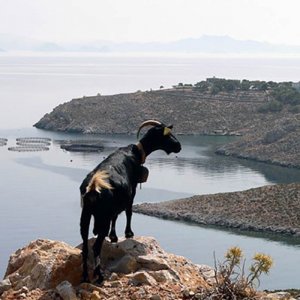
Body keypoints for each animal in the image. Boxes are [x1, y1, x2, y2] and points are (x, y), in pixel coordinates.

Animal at [79, 119, 180, 284]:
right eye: (167, 135)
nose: (179, 146)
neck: (135, 152)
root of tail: (94, 187)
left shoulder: (115, 205)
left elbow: (116, 216)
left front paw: (113, 236)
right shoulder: (131, 191)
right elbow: (129, 212)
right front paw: (128, 233)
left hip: (86, 214)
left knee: (86, 247)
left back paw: (85, 277)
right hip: (102, 217)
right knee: (96, 247)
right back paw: (99, 276)